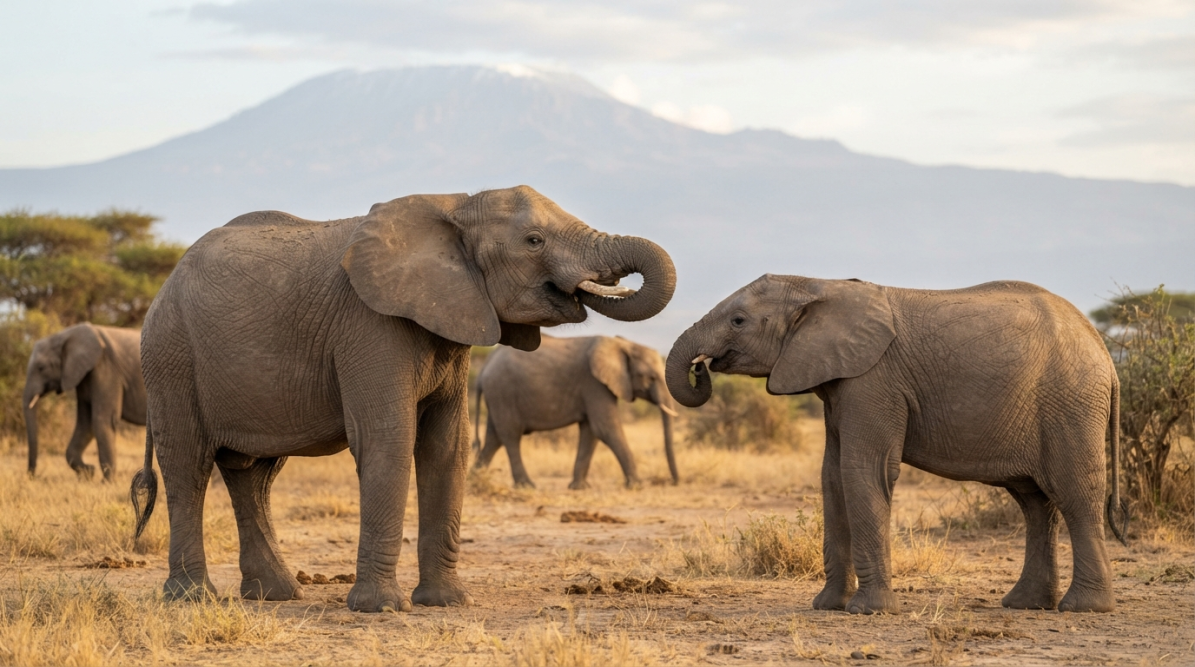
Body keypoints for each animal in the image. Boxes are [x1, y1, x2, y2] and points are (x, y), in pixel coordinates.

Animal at [24, 323, 146, 480]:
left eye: (41, 368)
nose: (32, 476)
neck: (65, 335)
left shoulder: (106, 371)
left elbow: (101, 420)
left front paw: (106, 482)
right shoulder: (84, 376)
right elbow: (85, 423)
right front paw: (89, 473)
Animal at [472, 334, 679, 490]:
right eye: (650, 377)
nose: (673, 482)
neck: (622, 344)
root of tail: (483, 370)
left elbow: (591, 432)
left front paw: (579, 487)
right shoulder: (594, 383)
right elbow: (605, 428)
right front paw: (636, 486)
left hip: (497, 396)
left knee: (494, 438)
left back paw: (474, 481)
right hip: (503, 392)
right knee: (511, 436)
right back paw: (526, 486)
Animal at [666, 275, 1123, 615]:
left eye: (738, 321)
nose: (701, 367)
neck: (817, 285)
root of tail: (1104, 350)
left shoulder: (873, 380)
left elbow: (862, 471)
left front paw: (868, 611)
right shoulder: (840, 382)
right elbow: (832, 478)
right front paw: (827, 606)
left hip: (1071, 403)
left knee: (1074, 493)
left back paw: (1083, 608)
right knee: (1035, 502)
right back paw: (1025, 604)